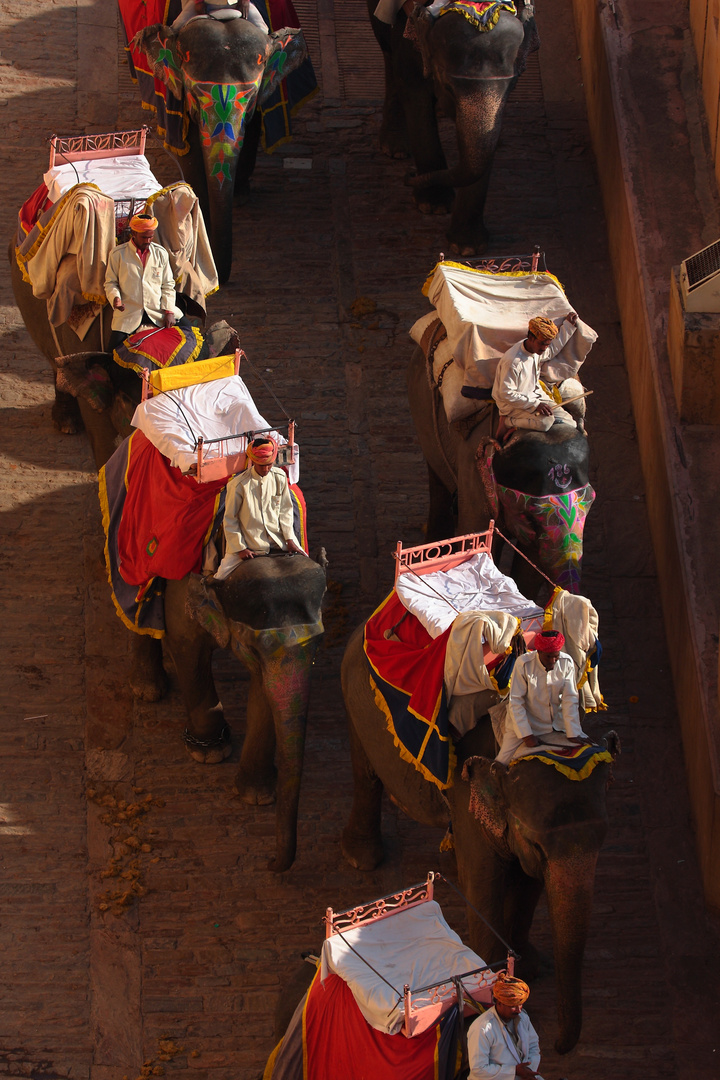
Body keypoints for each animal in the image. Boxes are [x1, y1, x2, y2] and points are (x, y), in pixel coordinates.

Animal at [338, 626, 621, 1054]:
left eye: (602, 840)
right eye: (538, 844)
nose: (557, 1046)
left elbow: (528, 885)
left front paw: (530, 969)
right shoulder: (467, 793)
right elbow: (483, 883)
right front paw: (493, 990)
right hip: (356, 702)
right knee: (365, 773)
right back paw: (363, 859)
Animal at [371, 0, 539, 253]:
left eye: (511, 86)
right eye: (449, 86)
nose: (410, 176)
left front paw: (467, 248)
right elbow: (414, 92)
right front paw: (434, 206)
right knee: (386, 47)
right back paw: (396, 148)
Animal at [408, 345, 595, 596]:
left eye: (592, 502)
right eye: (530, 516)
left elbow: (532, 566)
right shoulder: (473, 471)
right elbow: (476, 539)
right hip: (421, 411)